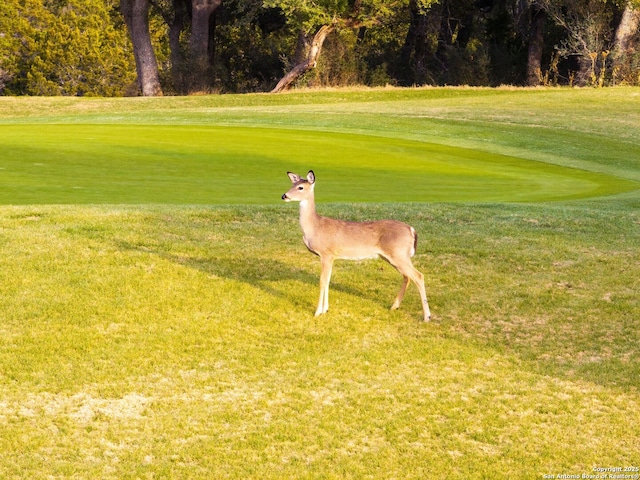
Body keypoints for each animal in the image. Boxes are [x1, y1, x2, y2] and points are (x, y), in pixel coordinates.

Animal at [280, 171, 430, 320]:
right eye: (292, 184)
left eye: (300, 187)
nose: (284, 196)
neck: (315, 227)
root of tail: (412, 230)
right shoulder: (331, 256)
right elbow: (328, 280)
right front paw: (326, 309)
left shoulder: (327, 253)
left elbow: (322, 281)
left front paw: (318, 312)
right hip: (393, 256)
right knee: (407, 277)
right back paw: (394, 306)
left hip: (398, 254)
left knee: (418, 276)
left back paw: (426, 316)